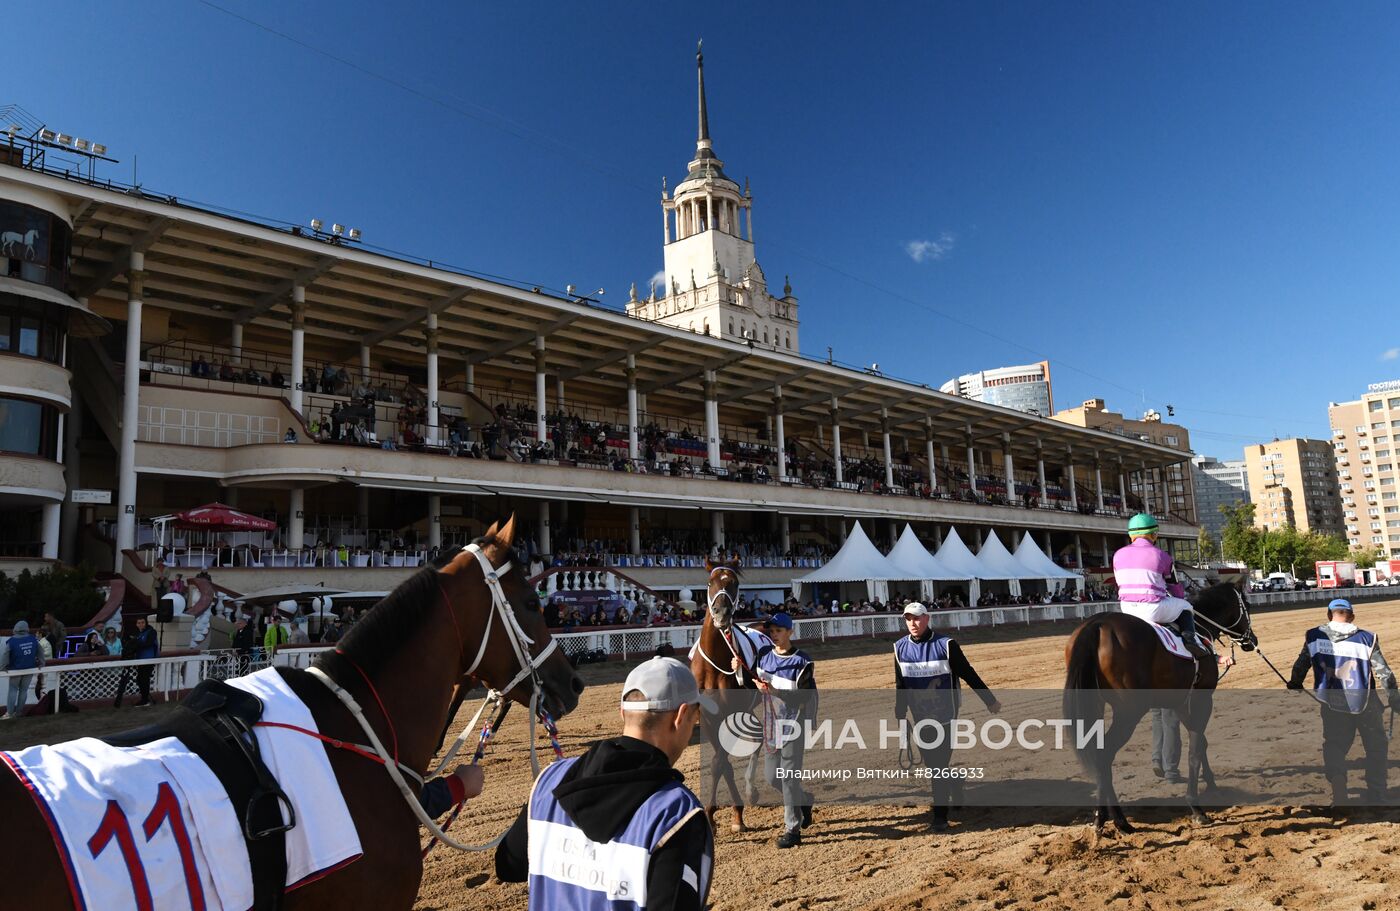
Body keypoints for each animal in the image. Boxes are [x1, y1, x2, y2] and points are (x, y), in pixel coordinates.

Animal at [688, 556, 767, 834]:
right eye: (710, 582)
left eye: (733, 583)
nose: (721, 614)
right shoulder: (706, 717)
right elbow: (720, 763)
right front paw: (713, 817)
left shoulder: (728, 713)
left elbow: (720, 762)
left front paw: (735, 815)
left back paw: (752, 790)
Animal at [1058, 584, 1260, 834]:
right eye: (1247, 606)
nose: (1251, 639)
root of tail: (1098, 624)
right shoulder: (1202, 699)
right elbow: (1195, 748)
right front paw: (1196, 807)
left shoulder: (1181, 702)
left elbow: (1200, 743)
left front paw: (1211, 784)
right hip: (1129, 711)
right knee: (1104, 754)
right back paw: (1119, 821)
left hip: (1095, 704)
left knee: (1098, 753)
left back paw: (1102, 817)